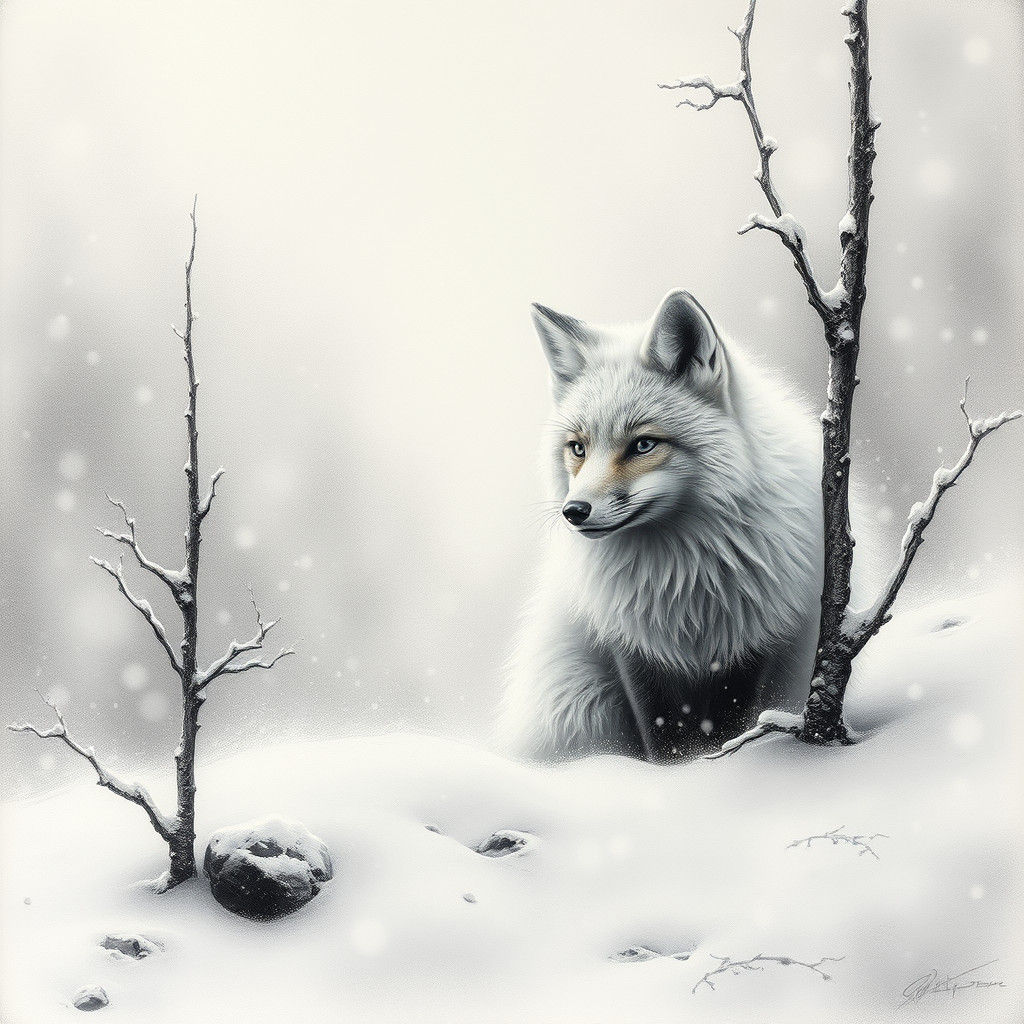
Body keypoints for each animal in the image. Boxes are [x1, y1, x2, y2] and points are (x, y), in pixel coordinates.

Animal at [499, 288, 836, 762]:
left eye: (643, 444)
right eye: (578, 448)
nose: (574, 511)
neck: (685, 581)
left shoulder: (756, 640)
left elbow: (730, 726)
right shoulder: (632, 649)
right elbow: (661, 738)